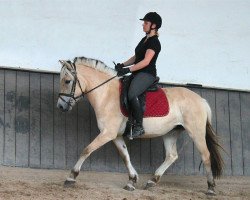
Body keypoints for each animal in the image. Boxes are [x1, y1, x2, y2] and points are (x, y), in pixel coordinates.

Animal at [57, 56, 225, 195]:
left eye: (67, 81)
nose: (60, 106)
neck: (106, 94)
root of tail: (200, 99)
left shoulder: (107, 133)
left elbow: (87, 150)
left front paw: (71, 177)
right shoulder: (115, 135)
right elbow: (125, 156)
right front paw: (132, 181)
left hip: (195, 132)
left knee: (206, 155)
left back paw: (211, 188)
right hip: (170, 132)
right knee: (172, 155)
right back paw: (152, 181)